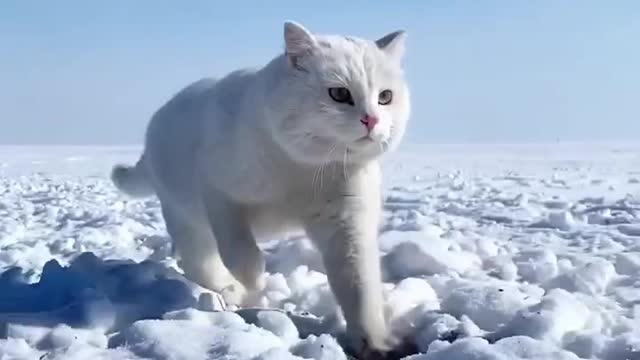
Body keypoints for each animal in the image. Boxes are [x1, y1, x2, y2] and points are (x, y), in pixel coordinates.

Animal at [111, 21, 410, 356]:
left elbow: (360, 286)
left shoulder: (347, 222)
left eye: (385, 96)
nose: (372, 119)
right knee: (199, 260)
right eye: (339, 93)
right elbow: (240, 250)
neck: (302, 168)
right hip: (185, 217)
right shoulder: (218, 192)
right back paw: (230, 290)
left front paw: (374, 342)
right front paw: (253, 281)